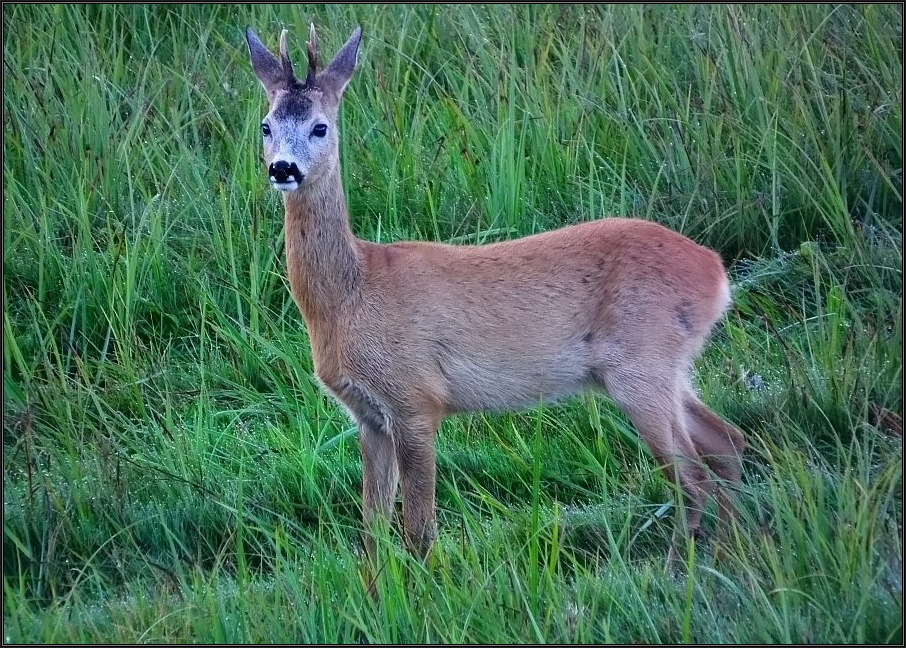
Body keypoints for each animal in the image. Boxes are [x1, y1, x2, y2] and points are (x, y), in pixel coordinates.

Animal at [245, 22, 740, 564]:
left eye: (320, 127)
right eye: (266, 126)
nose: (283, 169)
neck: (351, 296)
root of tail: (715, 271)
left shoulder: (416, 398)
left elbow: (419, 531)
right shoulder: (368, 415)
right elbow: (371, 533)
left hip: (640, 363)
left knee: (691, 475)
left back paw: (681, 568)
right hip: (665, 368)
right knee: (727, 442)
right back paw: (737, 547)